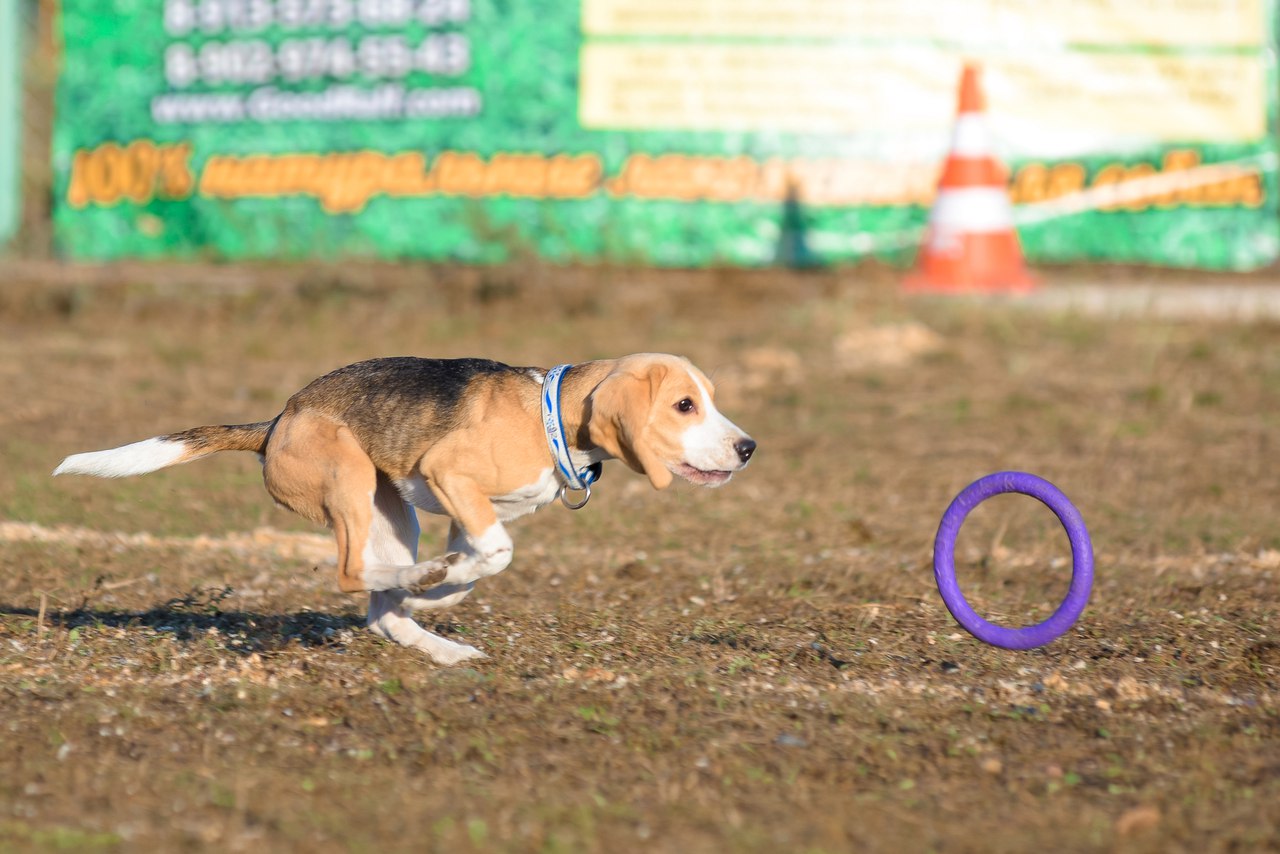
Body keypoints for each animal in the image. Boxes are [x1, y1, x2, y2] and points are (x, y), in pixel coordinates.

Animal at [55, 350, 752, 665]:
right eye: (684, 406)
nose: (748, 448)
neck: (549, 418)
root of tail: (276, 423)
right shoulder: (451, 477)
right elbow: (498, 552)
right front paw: (442, 583)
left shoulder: (464, 509)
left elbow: (477, 564)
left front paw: (442, 595)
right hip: (351, 478)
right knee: (349, 573)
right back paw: (420, 580)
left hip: (395, 512)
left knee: (379, 612)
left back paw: (440, 642)